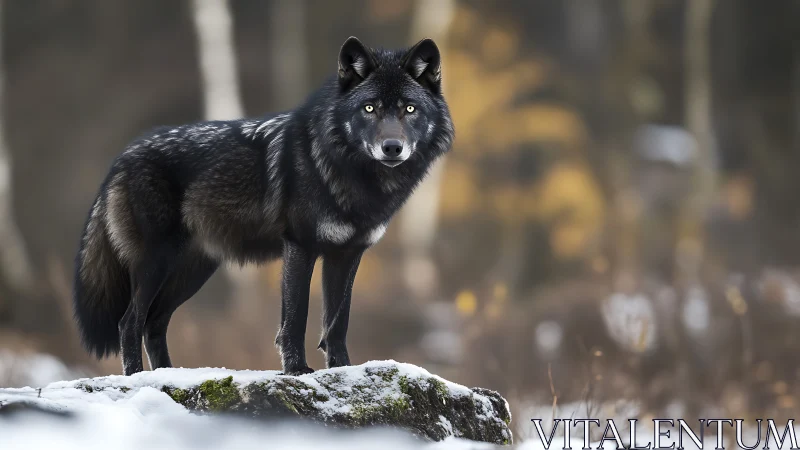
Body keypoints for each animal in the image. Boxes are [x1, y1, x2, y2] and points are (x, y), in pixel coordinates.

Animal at [72, 37, 454, 375]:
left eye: (409, 109)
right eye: (370, 108)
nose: (392, 147)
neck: (353, 175)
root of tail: (122, 157)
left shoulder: (346, 255)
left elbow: (336, 323)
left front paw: (343, 371)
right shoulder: (300, 246)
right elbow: (296, 318)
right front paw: (297, 370)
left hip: (191, 272)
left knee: (154, 323)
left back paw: (167, 376)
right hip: (157, 263)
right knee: (129, 322)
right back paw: (138, 377)